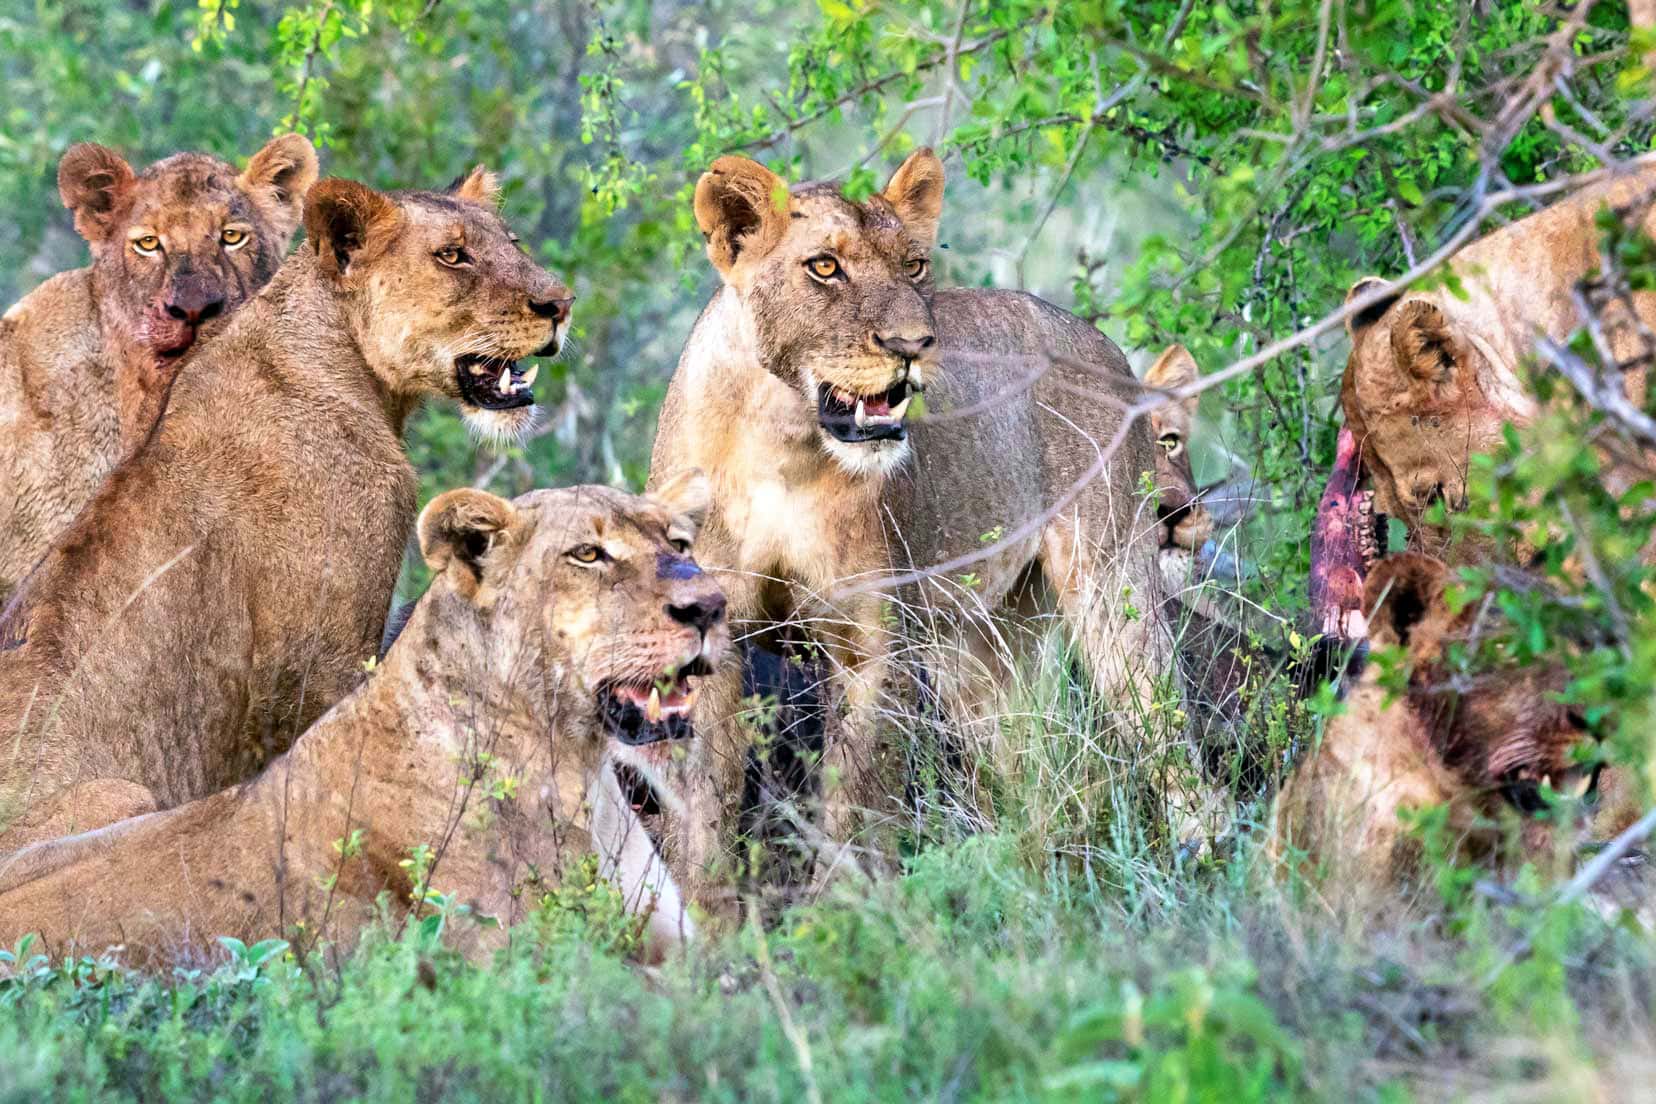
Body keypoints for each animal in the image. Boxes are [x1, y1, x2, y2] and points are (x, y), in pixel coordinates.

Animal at [645, 146, 1179, 893]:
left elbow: (857, 803)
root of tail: (1102, 344)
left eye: (915, 266)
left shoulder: (871, 644)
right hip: (983, 646)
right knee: (1030, 777)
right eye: (824, 267)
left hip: (1112, 582)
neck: (782, 445)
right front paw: (700, 917)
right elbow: (702, 820)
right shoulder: (705, 646)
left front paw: (847, 910)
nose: (914, 344)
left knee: (1172, 742)